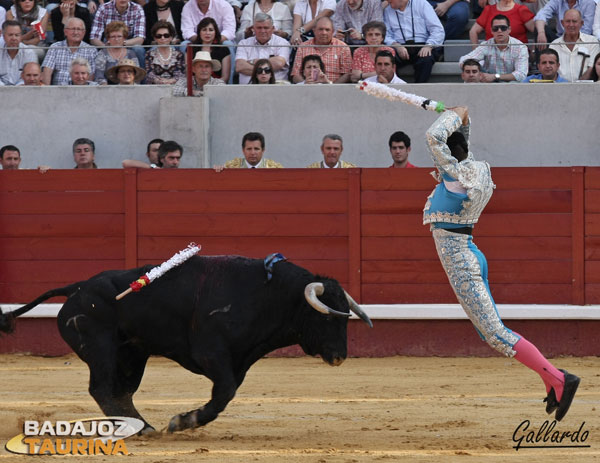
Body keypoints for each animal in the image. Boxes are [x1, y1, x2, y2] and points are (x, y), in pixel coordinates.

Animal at [0, 256, 372, 434]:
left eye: (346, 318)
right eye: (327, 318)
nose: (340, 356)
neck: (269, 294)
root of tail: (76, 287)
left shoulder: (237, 361)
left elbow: (225, 393)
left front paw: (182, 421)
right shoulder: (212, 353)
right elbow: (224, 393)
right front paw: (183, 421)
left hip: (132, 354)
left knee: (121, 392)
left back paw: (143, 427)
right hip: (101, 349)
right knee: (102, 389)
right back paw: (142, 430)